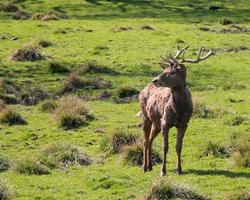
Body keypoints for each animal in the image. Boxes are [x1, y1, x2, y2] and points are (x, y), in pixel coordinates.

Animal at [138, 45, 214, 175]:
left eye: (172, 72)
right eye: (164, 71)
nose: (155, 80)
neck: (179, 111)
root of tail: (143, 90)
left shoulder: (184, 124)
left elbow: (179, 147)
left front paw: (179, 169)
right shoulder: (165, 122)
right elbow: (165, 146)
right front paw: (163, 171)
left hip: (156, 123)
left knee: (150, 140)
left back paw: (150, 166)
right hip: (146, 116)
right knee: (145, 140)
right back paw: (144, 167)